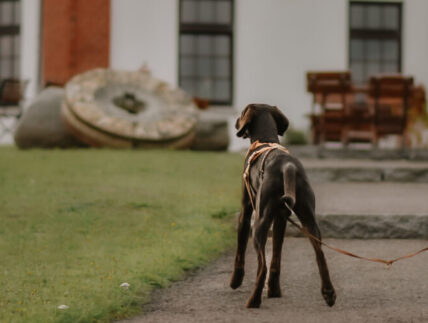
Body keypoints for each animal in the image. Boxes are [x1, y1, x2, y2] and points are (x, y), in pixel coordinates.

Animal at [229, 104, 336, 308]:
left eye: (242, 113)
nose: (236, 122)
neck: (266, 140)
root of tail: (288, 167)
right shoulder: (281, 218)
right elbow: (276, 258)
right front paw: (274, 290)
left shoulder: (246, 213)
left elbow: (239, 251)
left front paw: (235, 281)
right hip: (309, 221)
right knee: (320, 256)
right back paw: (329, 293)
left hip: (259, 224)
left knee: (262, 266)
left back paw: (253, 300)